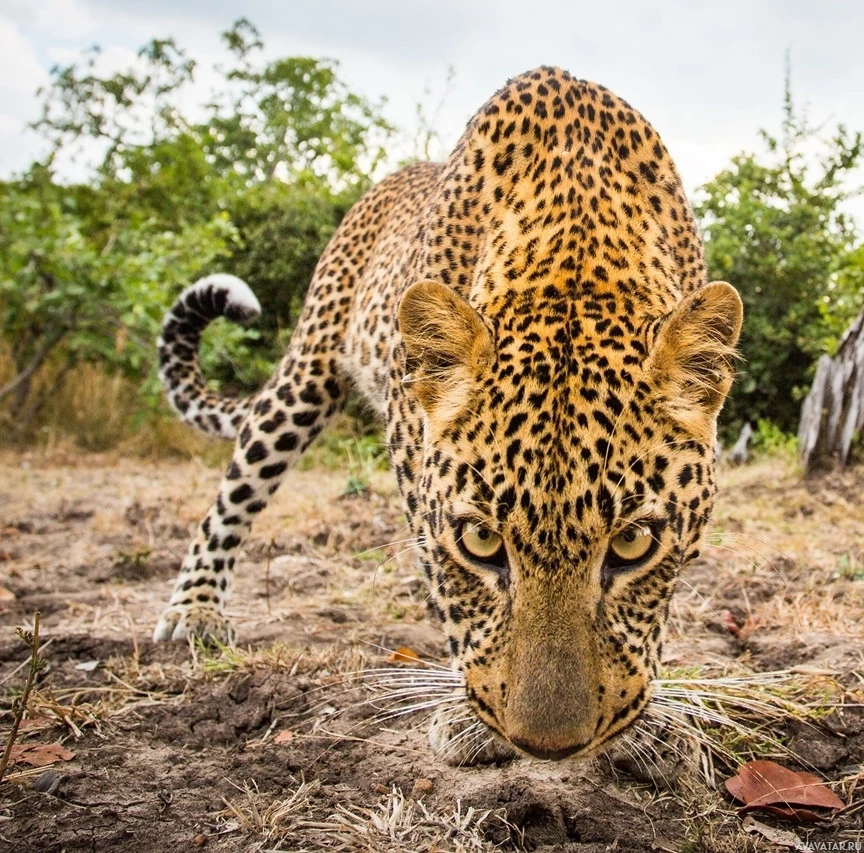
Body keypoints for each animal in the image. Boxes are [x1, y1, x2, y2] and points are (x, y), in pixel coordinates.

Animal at [152, 66, 740, 768]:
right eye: (481, 542)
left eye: (633, 545)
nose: (546, 748)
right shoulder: (412, 441)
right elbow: (447, 586)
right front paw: (467, 720)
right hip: (304, 376)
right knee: (236, 489)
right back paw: (195, 611)